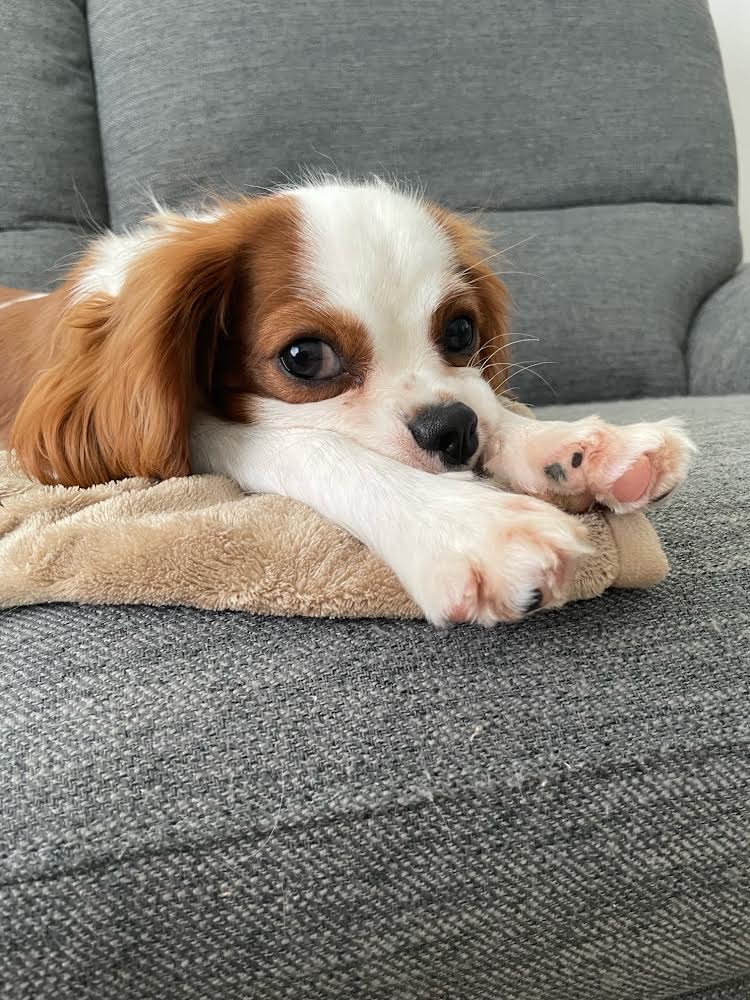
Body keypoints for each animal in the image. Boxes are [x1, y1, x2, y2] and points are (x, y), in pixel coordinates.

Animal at [0, 179, 694, 624]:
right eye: (306, 357)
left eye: (461, 333)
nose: (453, 432)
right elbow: (304, 444)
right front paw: (465, 522)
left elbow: (490, 403)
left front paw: (571, 446)